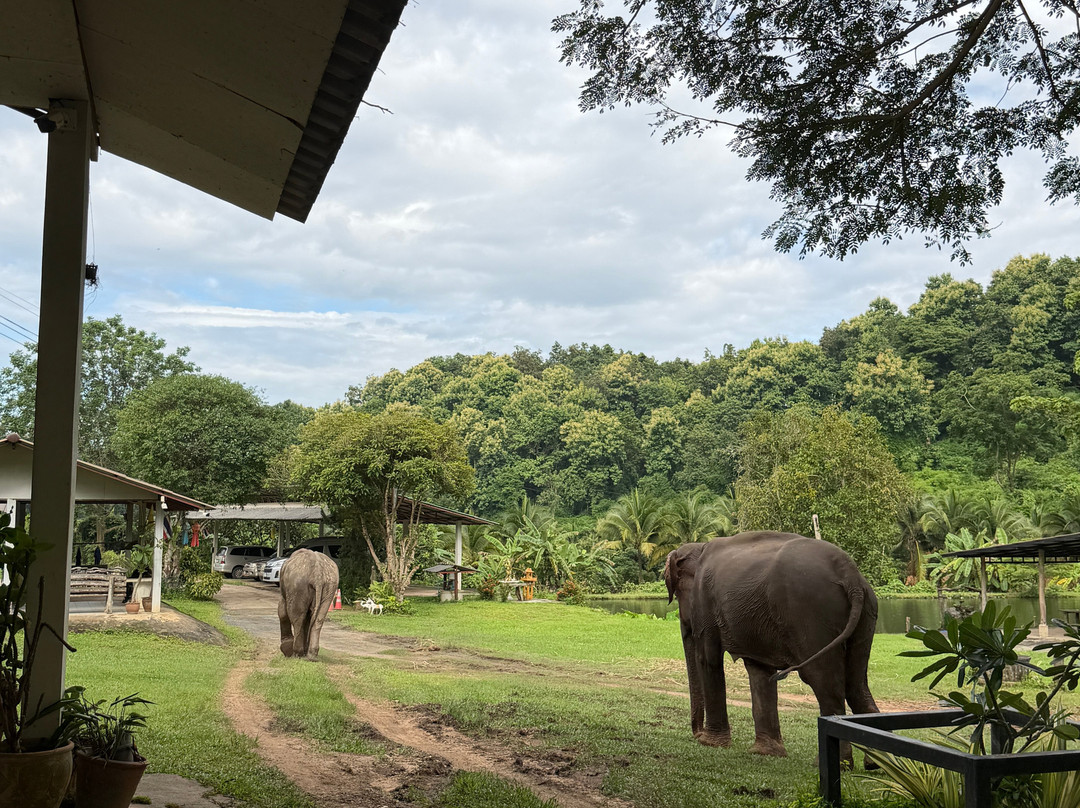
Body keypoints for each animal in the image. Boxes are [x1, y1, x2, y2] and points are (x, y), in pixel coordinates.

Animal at [664, 531, 879, 759]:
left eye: (677, 594)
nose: (696, 734)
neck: (700, 545)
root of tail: (850, 575)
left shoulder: (705, 602)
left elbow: (708, 659)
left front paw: (710, 743)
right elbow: (759, 672)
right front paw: (766, 752)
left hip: (812, 614)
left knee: (826, 684)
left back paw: (835, 761)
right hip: (866, 614)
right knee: (857, 685)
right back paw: (874, 762)